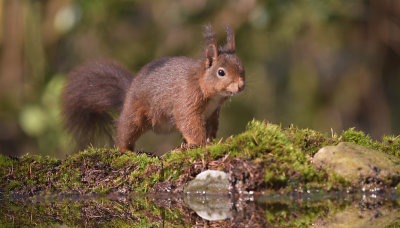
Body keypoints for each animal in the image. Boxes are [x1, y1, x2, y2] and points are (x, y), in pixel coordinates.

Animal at [62, 25, 244, 151]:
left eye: (242, 68)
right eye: (221, 72)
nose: (241, 86)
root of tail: (128, 91)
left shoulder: (212, 112)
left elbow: (211, 127)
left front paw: (212, 140)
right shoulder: (187, 100)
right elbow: (188, 122)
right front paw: (200, 144)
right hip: (136, 114)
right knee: (125, 130)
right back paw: (125, 149)